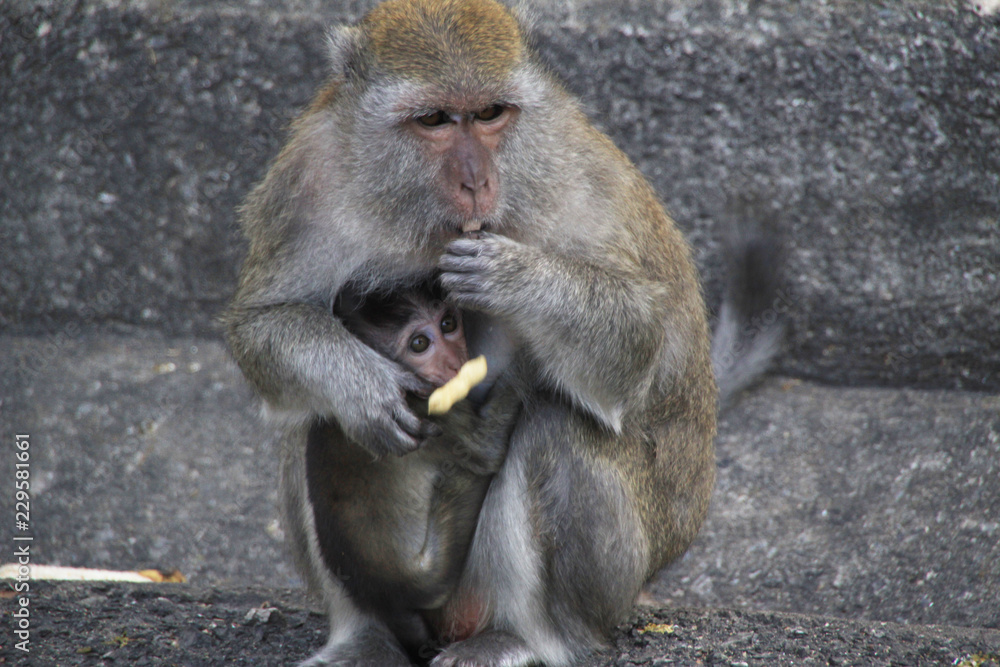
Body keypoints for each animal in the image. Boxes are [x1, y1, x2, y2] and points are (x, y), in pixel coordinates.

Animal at [224, 1, 721, 665]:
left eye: (490, 114)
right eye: (434, 119)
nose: (475, 182)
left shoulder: (579, 178)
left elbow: (635, 339)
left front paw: (514, 276)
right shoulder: (308, 172)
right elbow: (264, 321)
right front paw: (361, 389)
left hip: (618, 575)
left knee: (554, 425)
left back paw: (525, 637)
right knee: (313, 419)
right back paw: (366, 633)